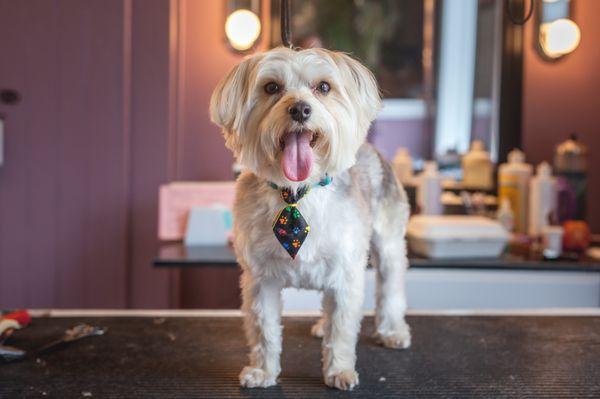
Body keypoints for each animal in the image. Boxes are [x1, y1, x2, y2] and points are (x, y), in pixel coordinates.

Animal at [209, 47, 410, 390]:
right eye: (271, 87)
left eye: (324, 87)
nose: (301, 109)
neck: (297, 194)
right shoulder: (260, 279)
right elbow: (264, 330)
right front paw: (263, 371)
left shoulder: (344, 273)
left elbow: (341, 329)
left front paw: (339, 370)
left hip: (389, 243)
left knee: (391, 287)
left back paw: (392, 330)